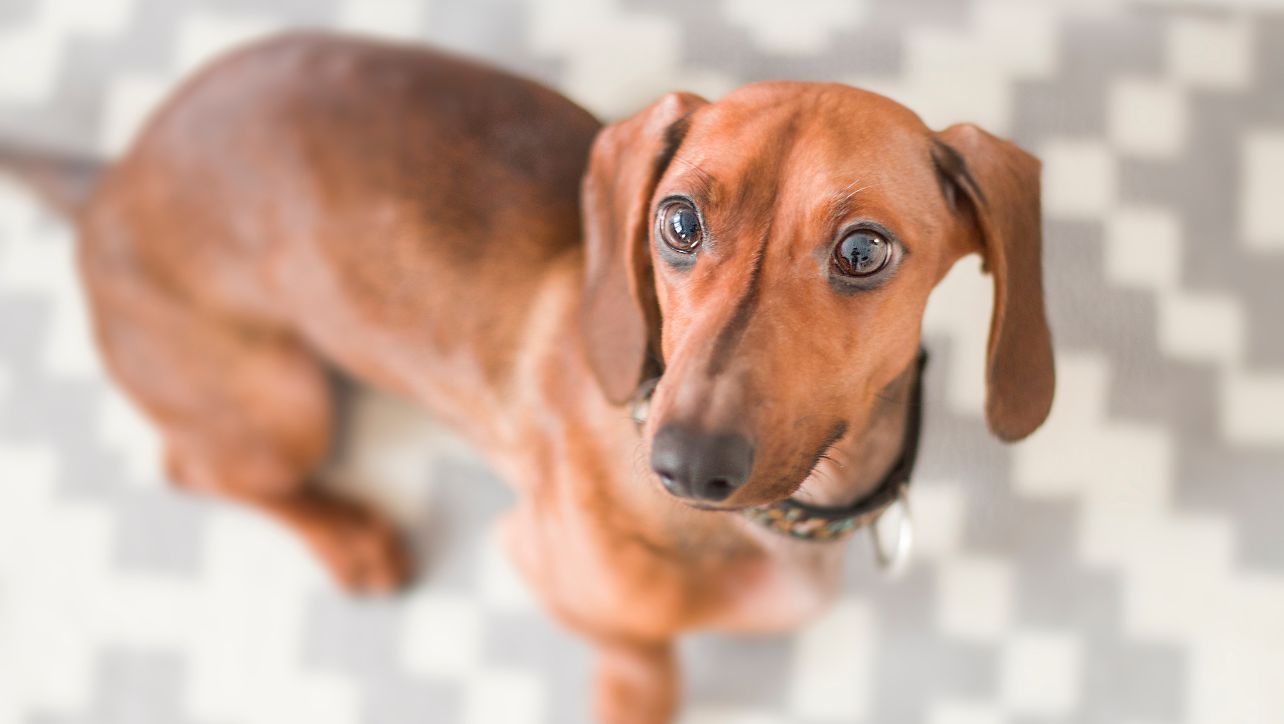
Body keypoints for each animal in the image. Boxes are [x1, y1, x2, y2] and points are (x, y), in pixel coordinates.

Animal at [2, 31, 1052, 718]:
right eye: (678, 220)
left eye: (865, 250)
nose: (682, 466)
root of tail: (110, 176)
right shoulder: (543, 564)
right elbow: (644, 670)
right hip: (284, 404)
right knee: (200, 468)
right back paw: (350, 539)